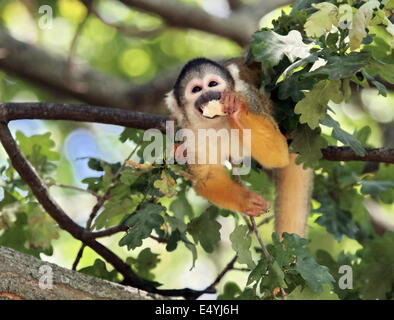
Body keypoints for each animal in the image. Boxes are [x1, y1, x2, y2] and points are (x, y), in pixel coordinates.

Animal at [165, 58, 312, 238]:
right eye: (197, 89)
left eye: (212, 84)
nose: (208, 95)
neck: (217, 122)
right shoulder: (189, 133)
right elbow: (206, 178)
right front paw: (246, 200)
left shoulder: (249, 99)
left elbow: (277, 154)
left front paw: (236, 109)